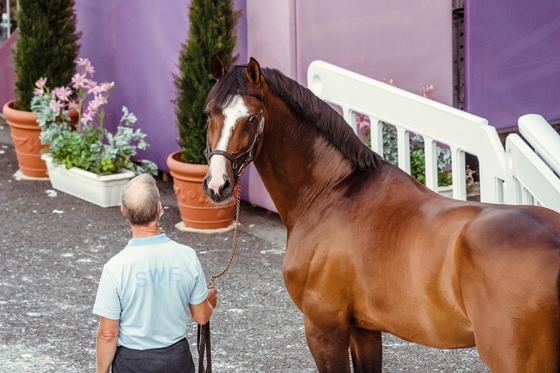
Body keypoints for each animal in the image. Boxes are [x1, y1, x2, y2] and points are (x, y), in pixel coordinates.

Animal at [201, 55, 560, 372]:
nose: (218, 185)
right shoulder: (365, 330)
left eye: (251, 118)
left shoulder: (324, 329)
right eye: (209, 114)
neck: (331, 193)